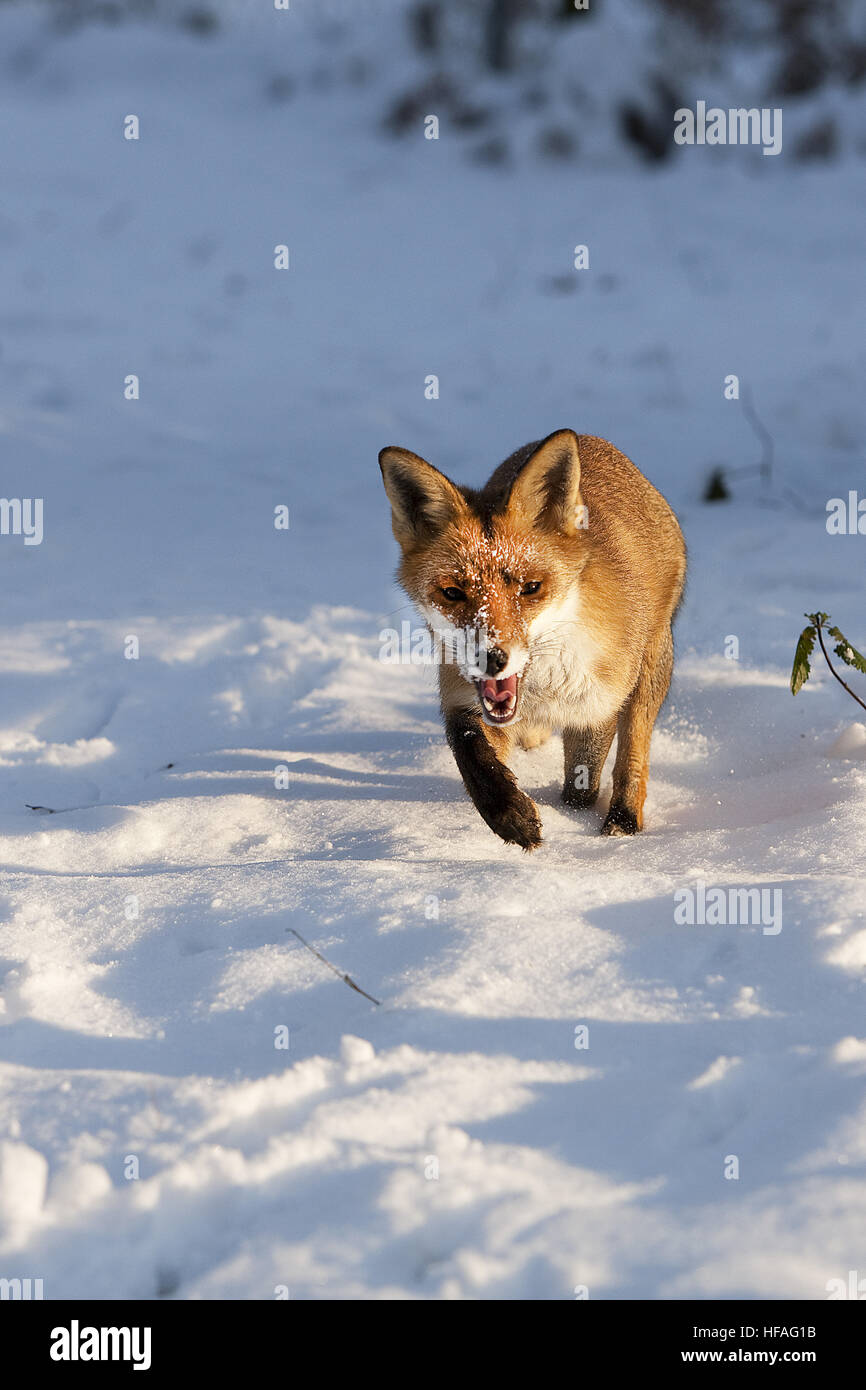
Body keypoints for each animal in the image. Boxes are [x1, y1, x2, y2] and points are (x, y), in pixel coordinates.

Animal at [378, 429, 686, 849]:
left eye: (531, 588)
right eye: (453, 593)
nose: (491, 659)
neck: (543, 688)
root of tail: (590, 438)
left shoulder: (597, 705)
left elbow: (582, 784)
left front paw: (574, 818)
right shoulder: (462, 695)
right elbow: (473, 755)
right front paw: (510, 816)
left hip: (651, 664)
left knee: (634, 753)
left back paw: (623, 821)